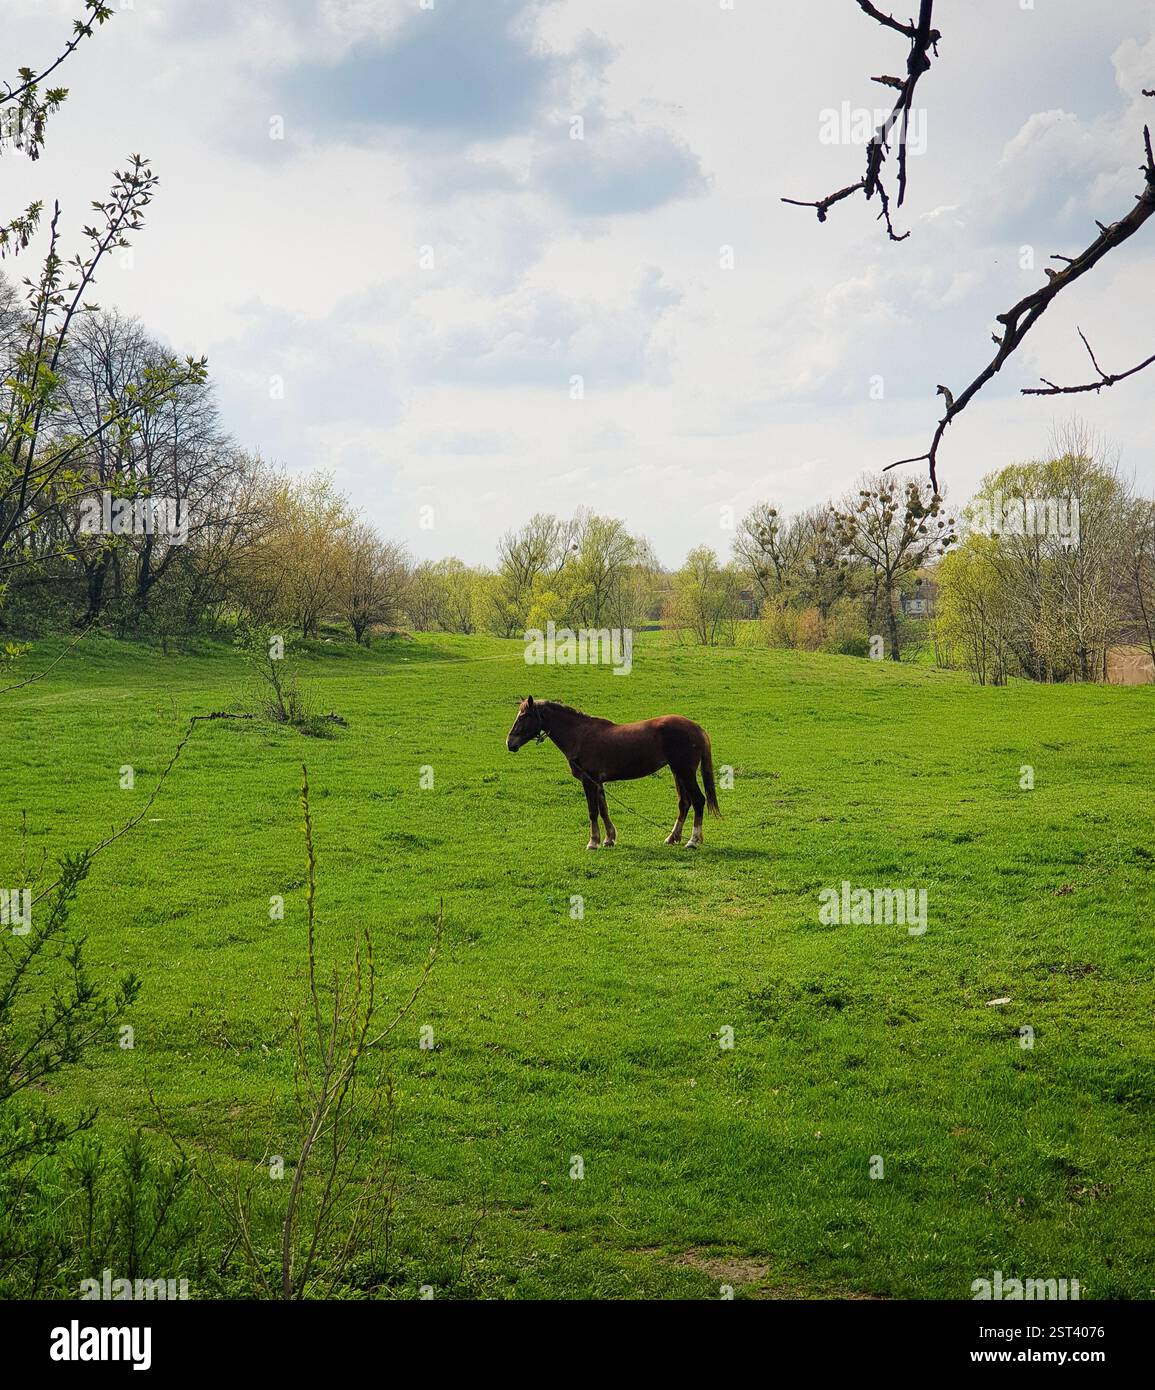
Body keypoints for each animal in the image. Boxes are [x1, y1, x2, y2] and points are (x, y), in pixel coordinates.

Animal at [506, 697, 720, 850]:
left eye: (524, 716)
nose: (510, 743)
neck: (580, 735)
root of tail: (696, 728)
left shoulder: (588, 781)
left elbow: (593, 811)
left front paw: (593, 842)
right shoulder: (598, 782)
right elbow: (604, 809)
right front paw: (609, 838)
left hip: (685, 772)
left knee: (698, 801)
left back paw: (692, 840)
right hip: (678, 772)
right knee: (684, 803)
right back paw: (672, 837)